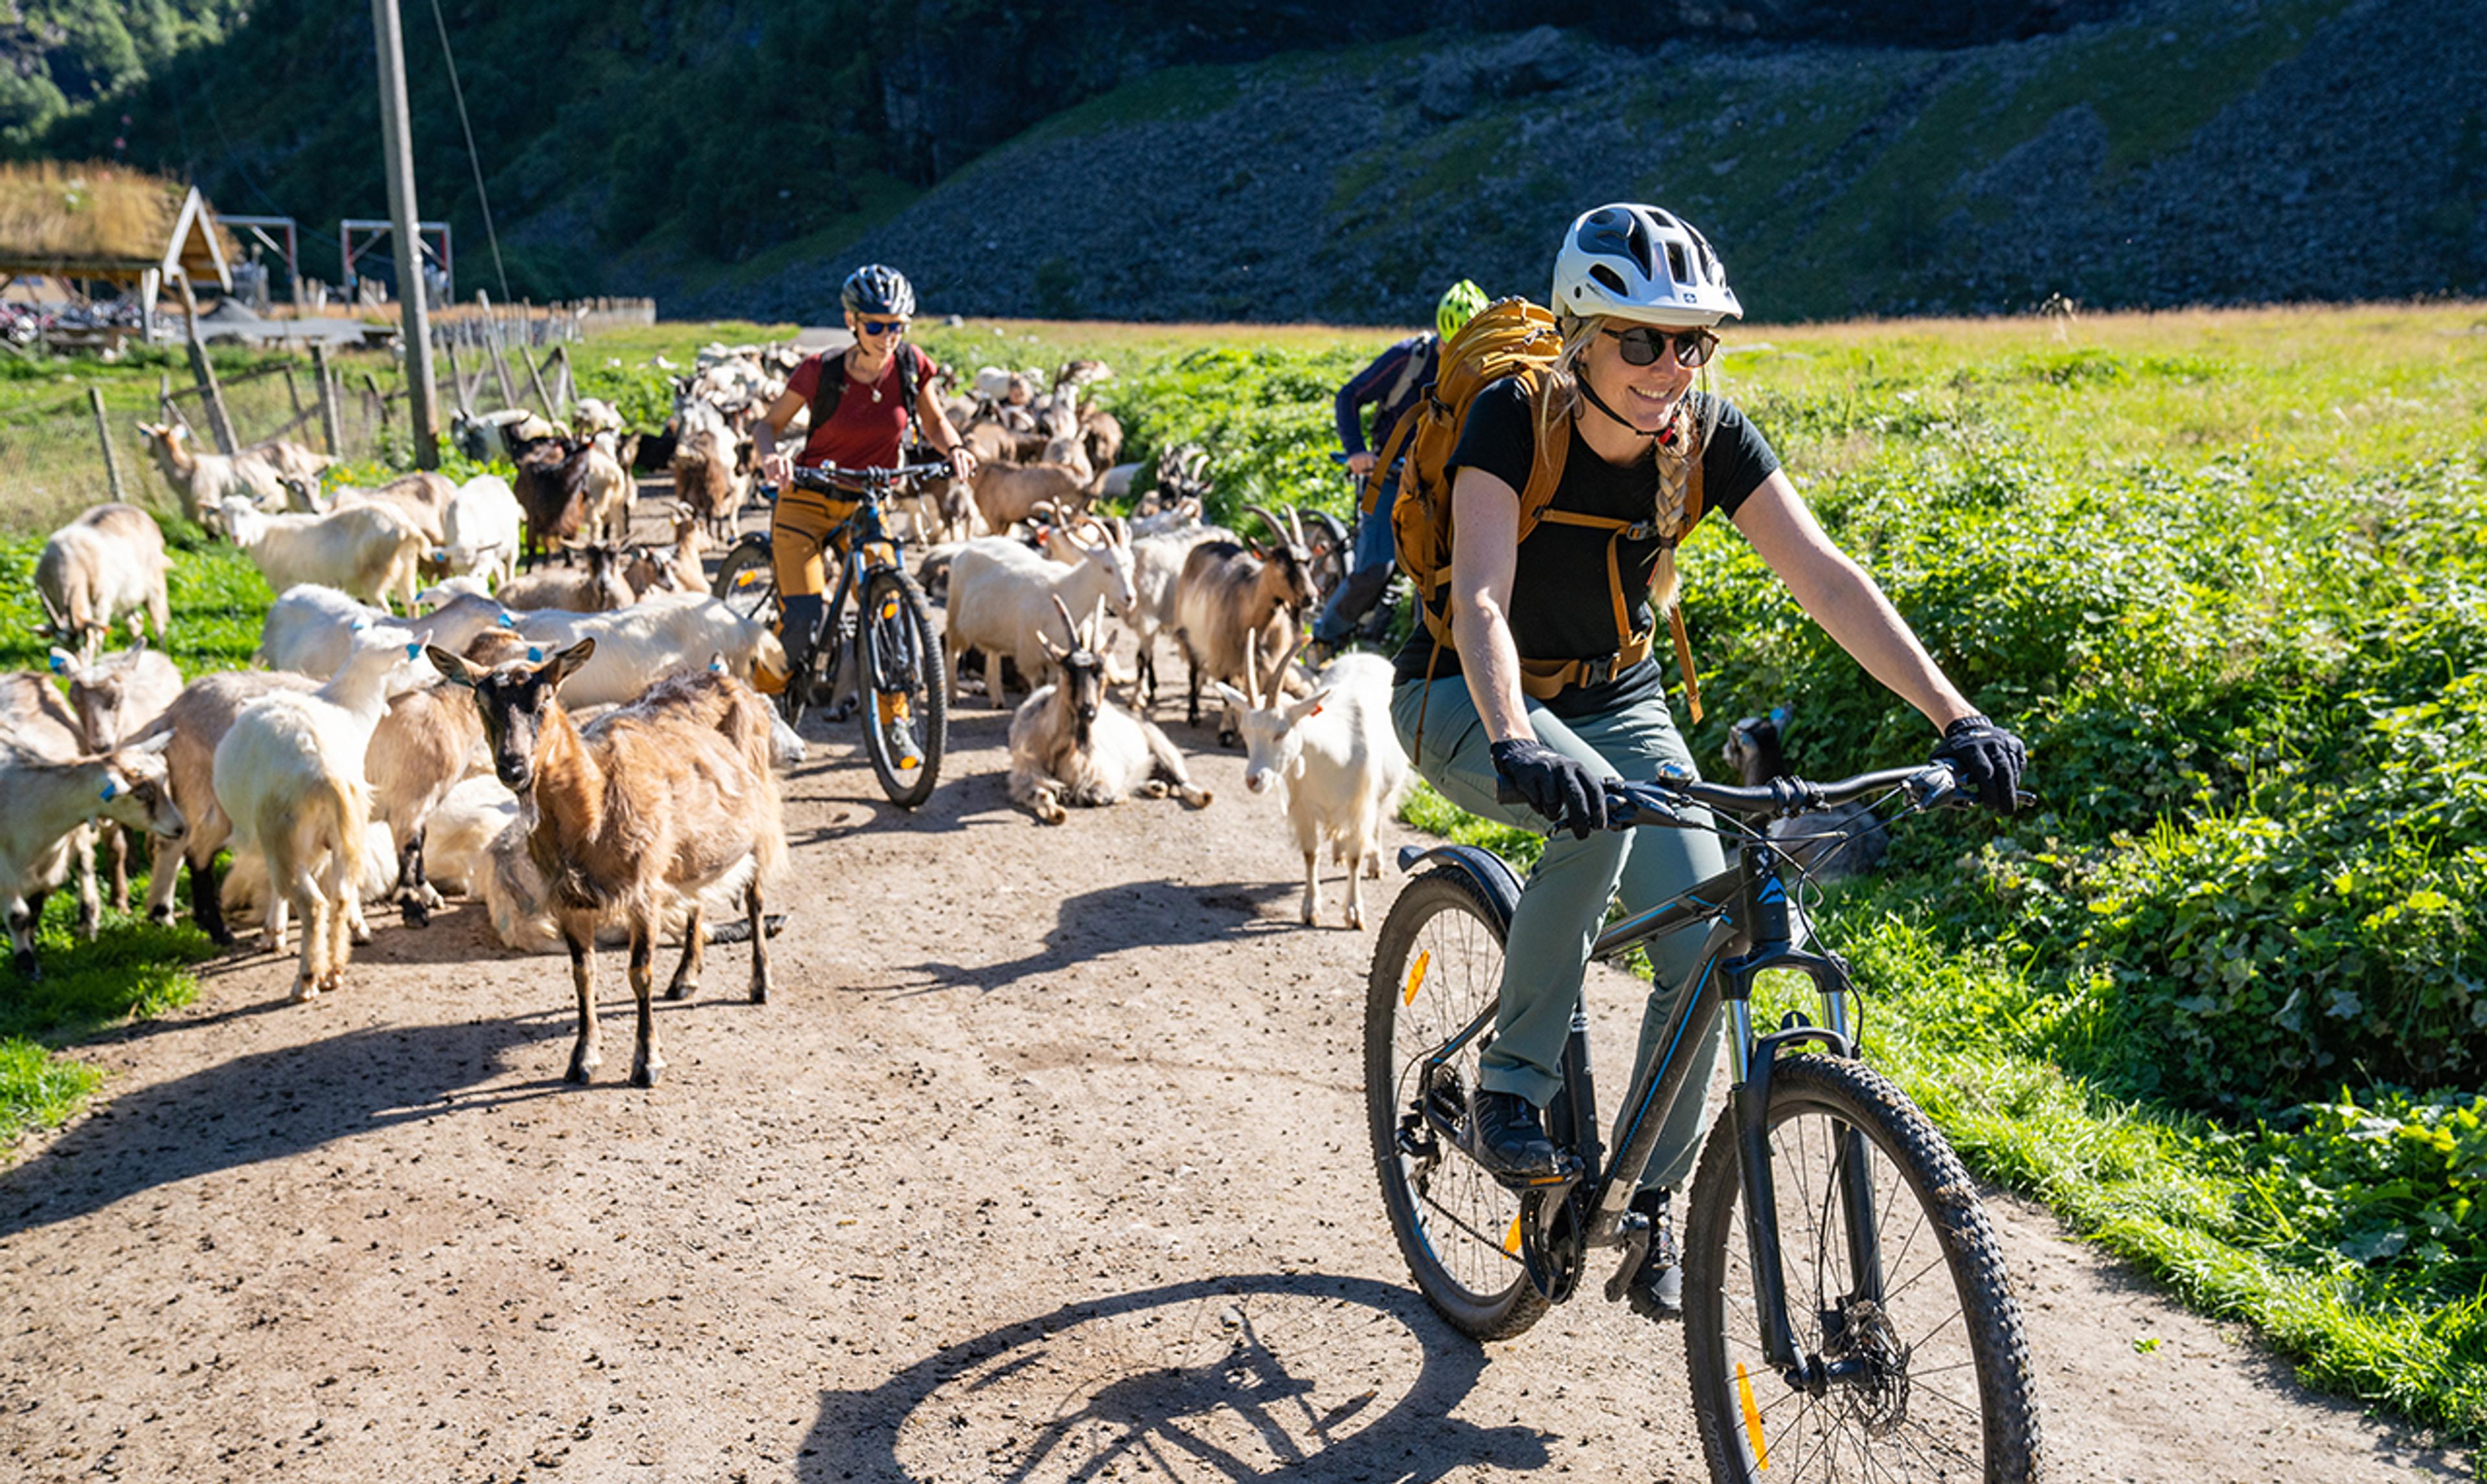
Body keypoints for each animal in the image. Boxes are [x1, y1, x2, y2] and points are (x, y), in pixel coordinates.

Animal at [430, 641, 786, 1088]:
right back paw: (685, 978)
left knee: (755, 898)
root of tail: (725, 678)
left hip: (757, 821)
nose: (513, 766)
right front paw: (583, 1059)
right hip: (694, 846)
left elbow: (639, 973)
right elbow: (583, 975)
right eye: (481, 703)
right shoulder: (569, 900)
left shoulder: (644, 890)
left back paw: (760, 984)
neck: (595, 801)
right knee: (698, 897)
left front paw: (647, 1062)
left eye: (544, 701)